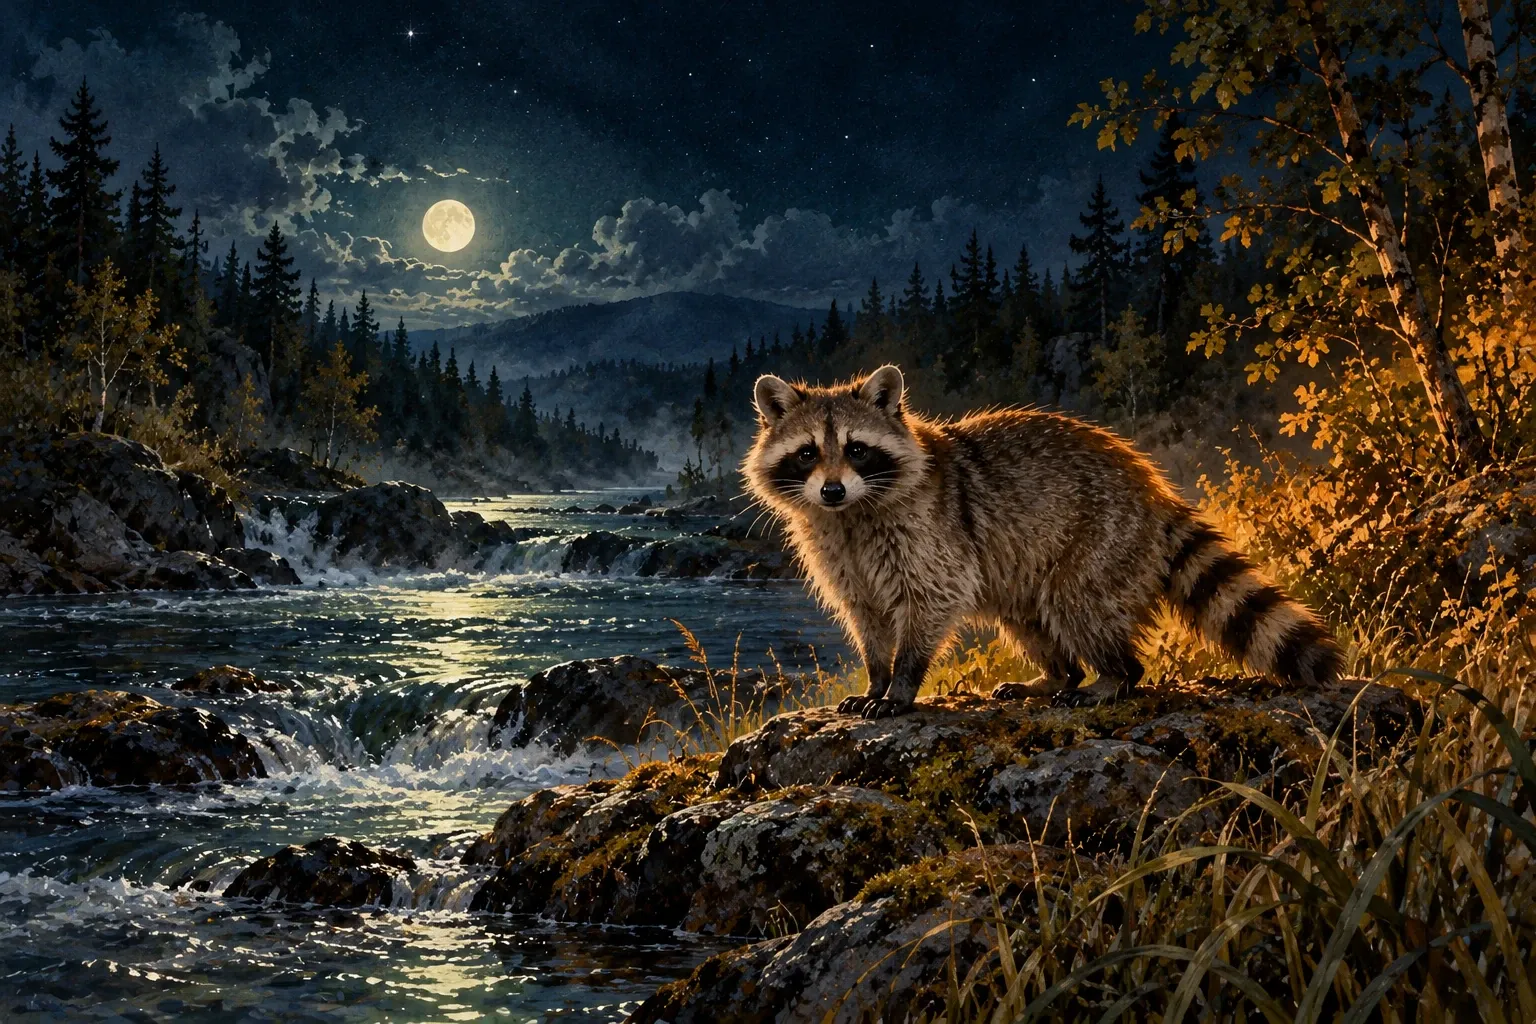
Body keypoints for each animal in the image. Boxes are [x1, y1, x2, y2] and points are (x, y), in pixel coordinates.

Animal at [743, 364, 1344, 718]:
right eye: (807, 453)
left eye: (857, 449)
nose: (832, 489)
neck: (852, 514)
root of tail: (1153, 491)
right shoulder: (840, 552)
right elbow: (866, 614)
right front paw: (876, 677)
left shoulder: (928, 534)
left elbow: (931, 600)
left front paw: (902, 684)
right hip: (1029, 568)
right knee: (1029, 618)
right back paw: (1058, 673)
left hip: (1104, 538)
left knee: (1077, 603)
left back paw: (1112, 676)